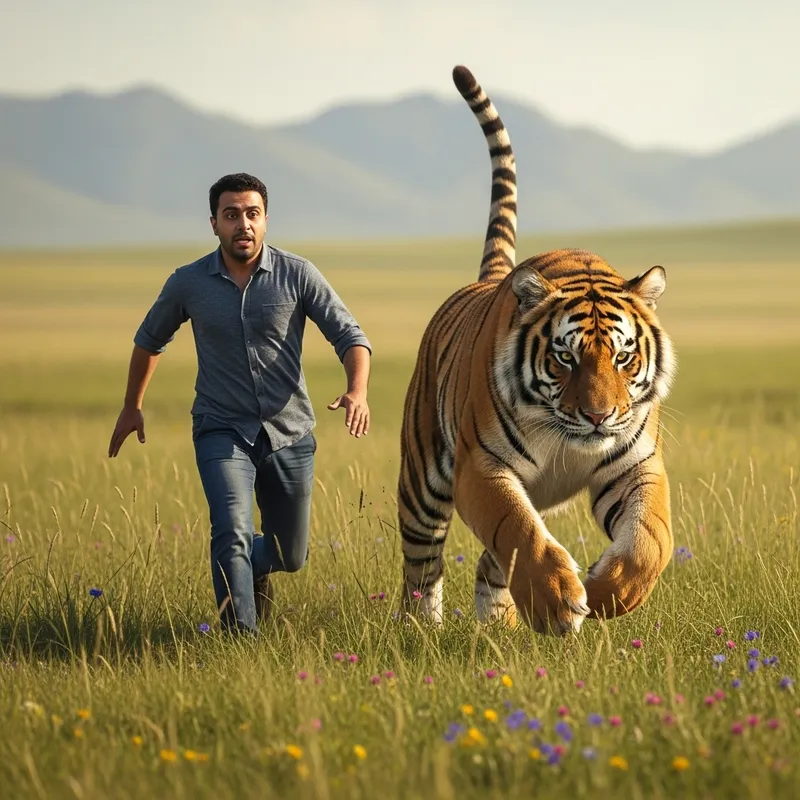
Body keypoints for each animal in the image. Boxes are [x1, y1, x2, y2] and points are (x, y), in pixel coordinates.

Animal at [397, 65, 677, 635]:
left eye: (623, 357)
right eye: (565, 357)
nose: (598, 416)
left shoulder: (636, 465)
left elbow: (650, 541)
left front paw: (605, 593)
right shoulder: (482, 467)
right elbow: (518, 532)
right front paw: (558, 602)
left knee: (488, 564)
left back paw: (498, 626)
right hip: (422, 483)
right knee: (423, 565)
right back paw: (420, 631)